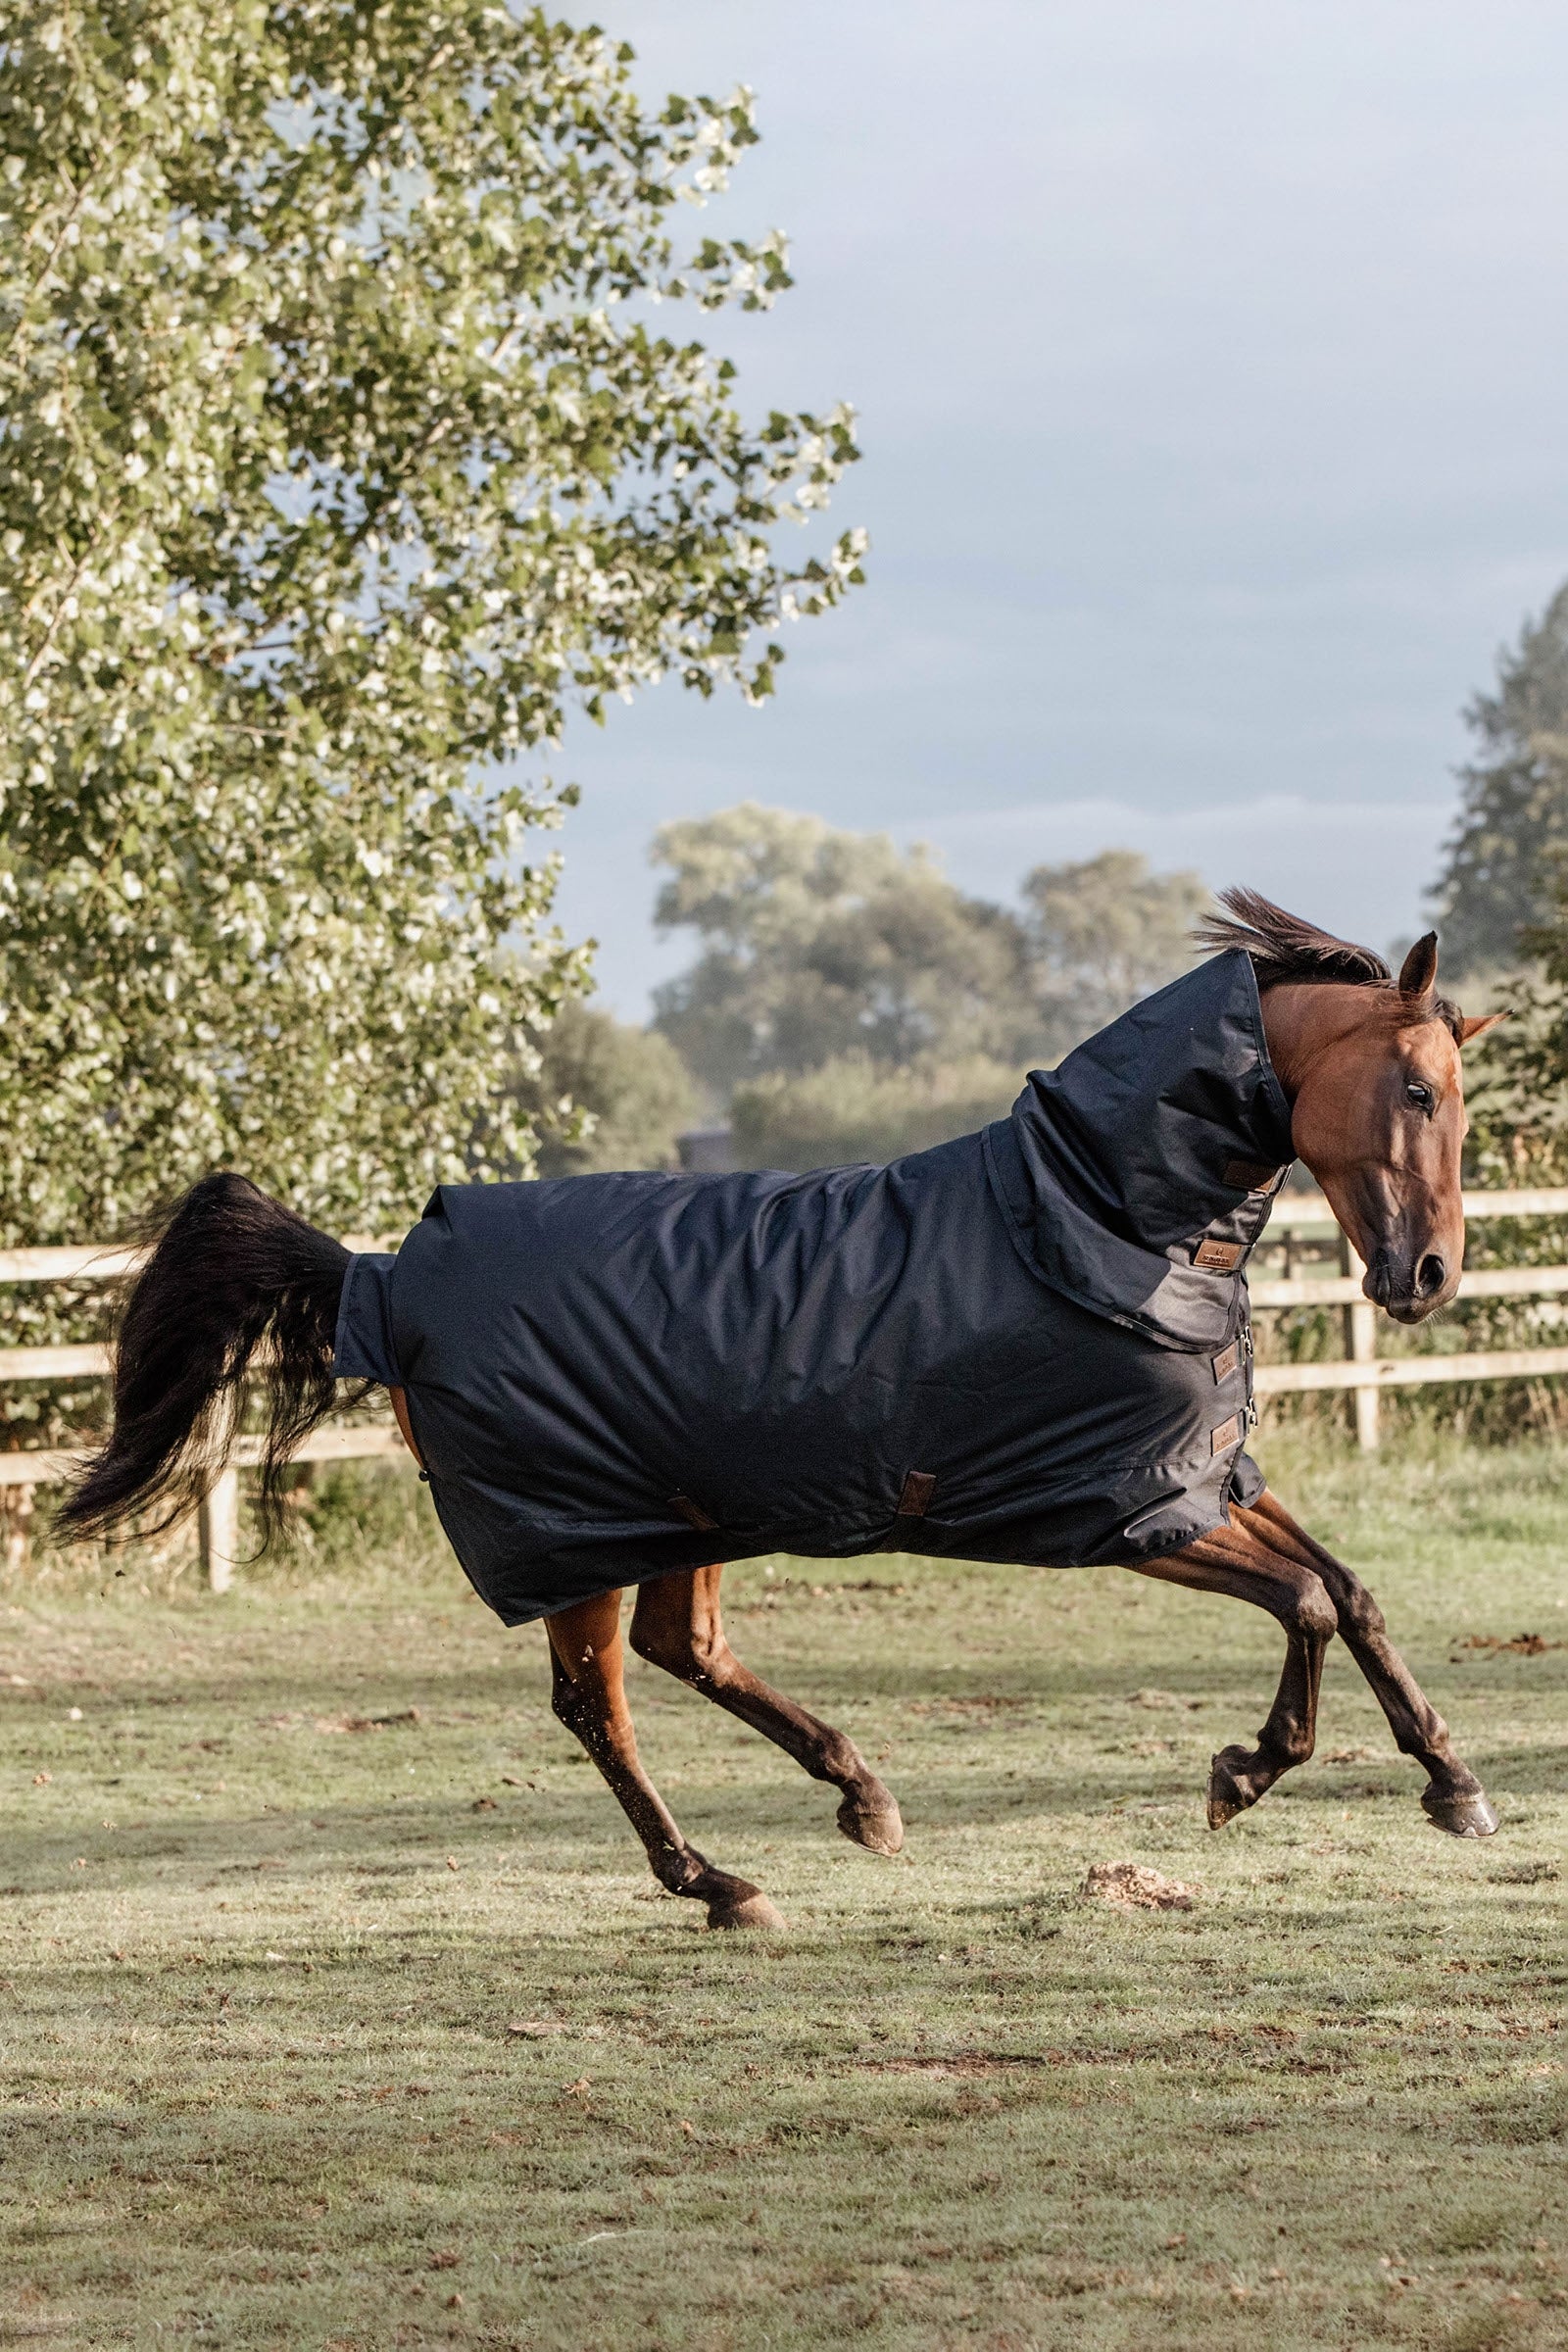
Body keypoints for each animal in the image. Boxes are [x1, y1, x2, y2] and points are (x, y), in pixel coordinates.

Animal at [58, 891, 1505, 1930]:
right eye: (1417, 1091)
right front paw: (1243, 1774)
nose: (1429, 1277)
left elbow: (1354, 1594)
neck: (1098, 1217)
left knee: (680, 1652)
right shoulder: (1128, 1512)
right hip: (583, 1535)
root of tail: (380, 1272)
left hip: (679, 1517)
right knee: (599, 1704)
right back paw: (719, 1884)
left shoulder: (1207, 1480)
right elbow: (1307, 1603)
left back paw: (857, 1797)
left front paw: (1454, 1785)